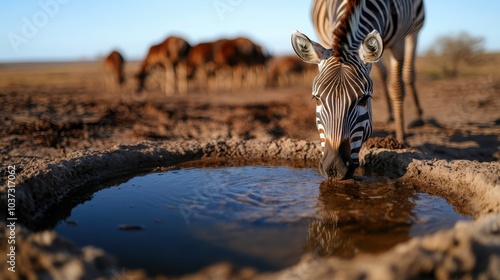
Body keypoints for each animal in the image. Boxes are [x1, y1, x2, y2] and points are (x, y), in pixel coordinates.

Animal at [292, 0, 424, 179]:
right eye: (317, 98)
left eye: (364, 99)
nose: (335, 168)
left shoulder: (399, 41)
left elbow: (397, 87)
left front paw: (401, 139)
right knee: (383, 73)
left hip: (414, 31)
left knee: (408, 74)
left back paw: (417, 115)